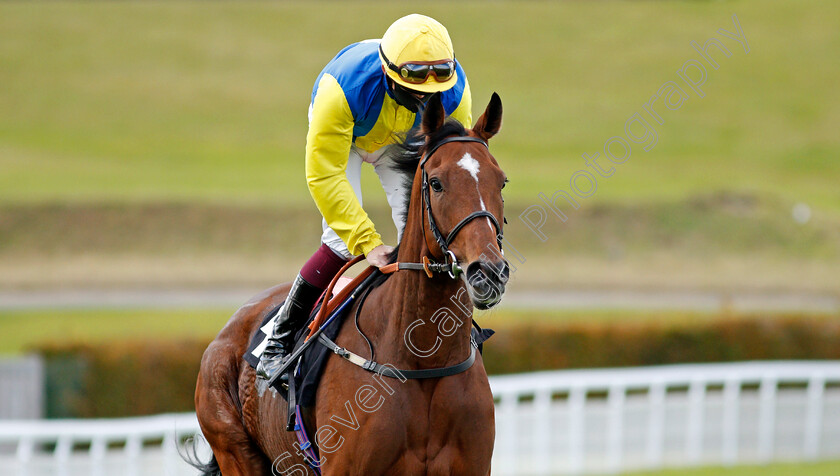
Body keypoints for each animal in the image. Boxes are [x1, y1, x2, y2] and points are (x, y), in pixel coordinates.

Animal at [194, 94, 508, 476]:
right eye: (436, 183)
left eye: (501, 182)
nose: (488, 271)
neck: (422, 360)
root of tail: (226, 332)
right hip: (235, 450)